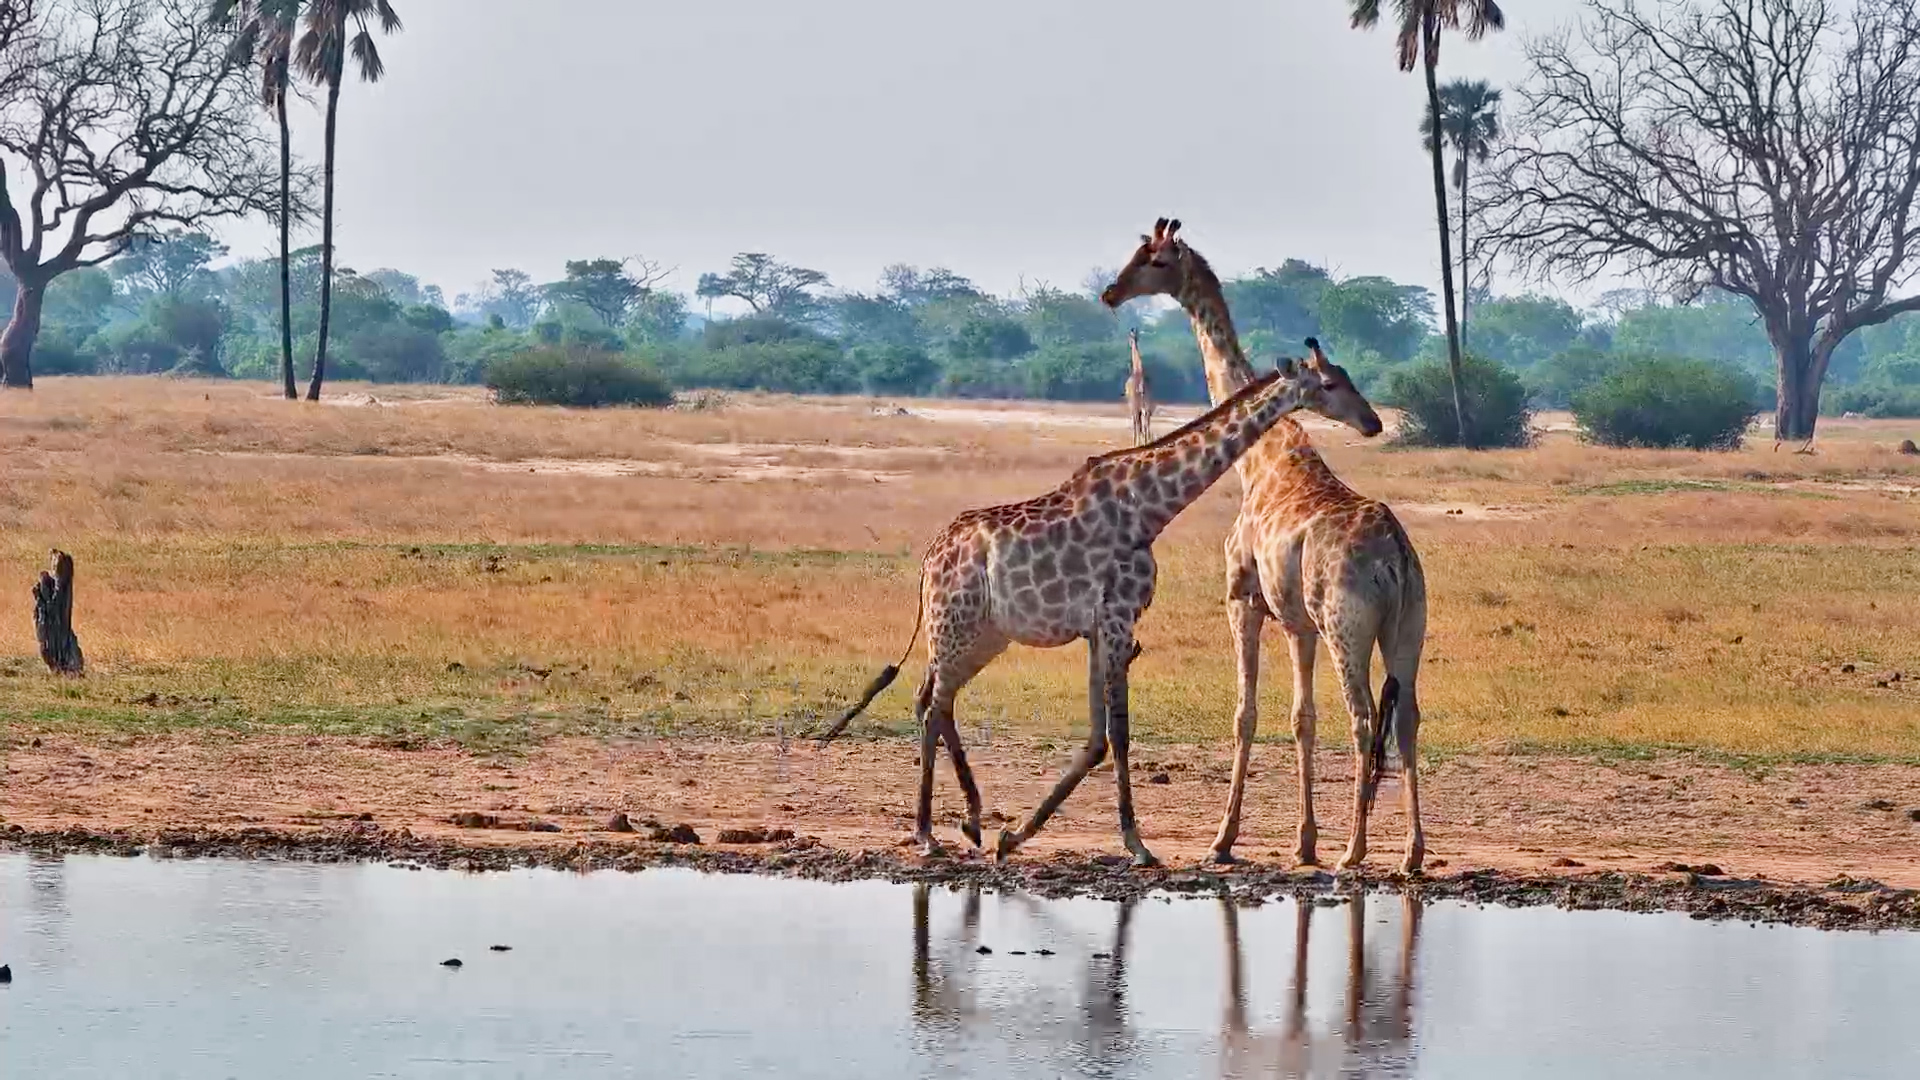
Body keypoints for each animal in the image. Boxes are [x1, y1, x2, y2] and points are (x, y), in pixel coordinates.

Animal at [819, 358, 1384, 864]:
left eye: (1346, 375)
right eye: (1329, 383)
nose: (1373, 422)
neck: (1150, 509)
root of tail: (929, 559)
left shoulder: (1098, 628)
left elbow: (1097, 736)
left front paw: (1015, 836)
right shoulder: (1116, 619)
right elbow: (1119, 731)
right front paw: (1137, 845)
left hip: (982, 634)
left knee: (932, 700)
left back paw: (973, 822)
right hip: (954, 624)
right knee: (933, 705)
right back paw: (928, 833)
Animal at [1100, 217, 1429, 874]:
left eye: (1153, 259)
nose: (1111, 292)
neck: (1262, 460)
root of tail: (1396, 559)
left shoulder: (1243, 599)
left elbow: (1245, 714)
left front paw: (1223, 841)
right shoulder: (1298, 622)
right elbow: (1302, 718)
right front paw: (1303, 841)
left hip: (1348, 626)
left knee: (1364, 717)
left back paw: (1354, 852)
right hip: (1407, 627)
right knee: (1405, 717)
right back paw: (1411, 853)